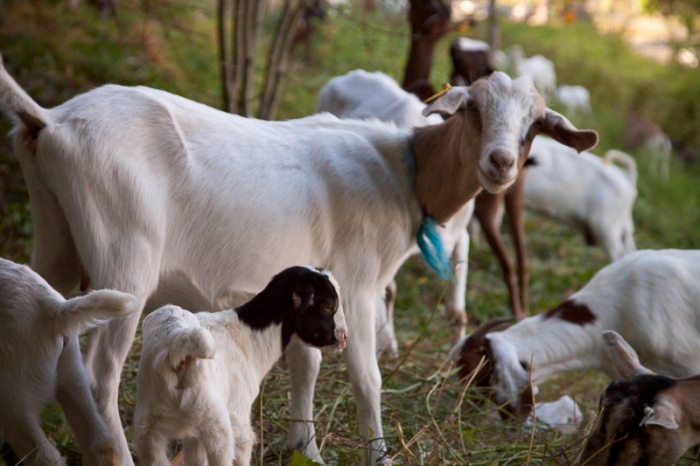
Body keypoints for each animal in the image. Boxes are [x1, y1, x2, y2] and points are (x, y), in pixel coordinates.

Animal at [135, 266, 347, 466]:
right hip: (213, 417)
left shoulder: (193, 434)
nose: (344, 338)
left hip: (150, 424)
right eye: (328, 306)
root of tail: (177, 341)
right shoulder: (239, 415)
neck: (249, 336)